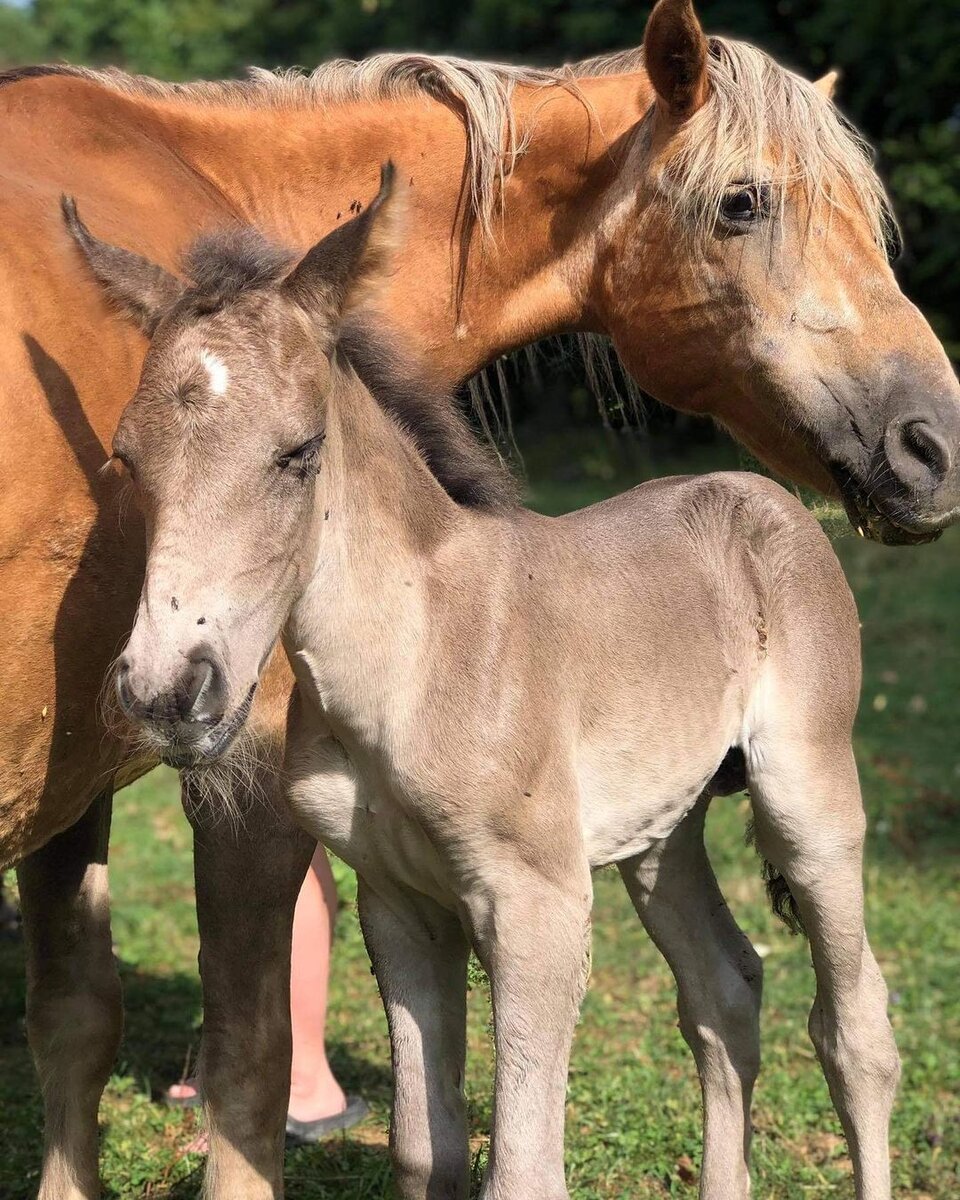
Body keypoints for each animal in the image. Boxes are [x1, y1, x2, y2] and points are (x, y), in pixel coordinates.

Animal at [63, 171, 897, 1200]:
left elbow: (522, 1168)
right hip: (662, 832)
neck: (415, 666)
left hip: (807, 798)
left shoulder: (537, 905)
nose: (168, 694)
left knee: (855, 1026)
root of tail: (770, 497)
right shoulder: (399, 906)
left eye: (298, 454)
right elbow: (429, 1152)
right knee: (723, 990)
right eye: (126, 459)